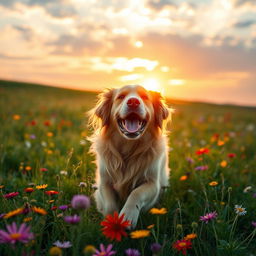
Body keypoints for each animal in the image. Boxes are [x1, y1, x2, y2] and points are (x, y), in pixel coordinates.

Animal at [89, 85, 171, 227]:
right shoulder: (104, 181)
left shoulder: (152, 183)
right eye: (121, 96)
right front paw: (112, 222)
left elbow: (136, 193)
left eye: (145, 97)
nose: (133, 102)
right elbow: (110, 205)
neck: (129, 148)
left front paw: (128, 215)